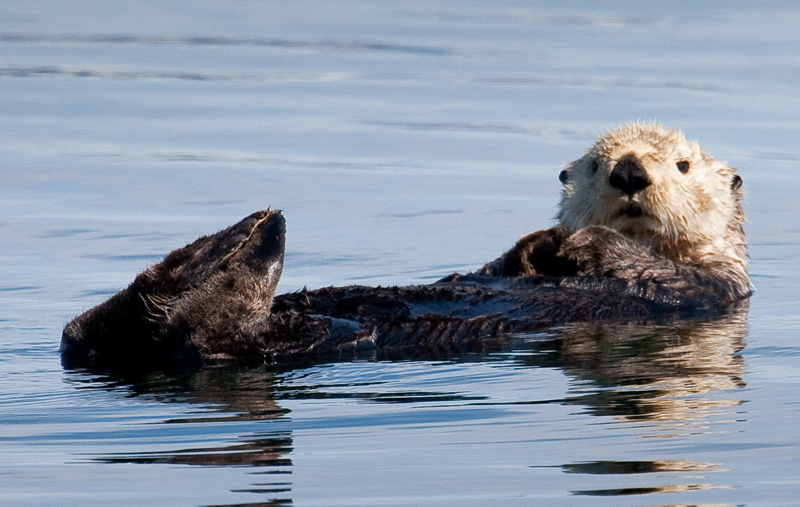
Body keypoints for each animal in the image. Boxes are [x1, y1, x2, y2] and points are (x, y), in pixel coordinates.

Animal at [61, 123, 752, 370]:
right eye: (595, 163)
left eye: (683, 165)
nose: (630, 172)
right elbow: (506, 261)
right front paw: (543, 244)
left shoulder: (714, 285)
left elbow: (653, 269)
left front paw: (580, 241)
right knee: (88, 330)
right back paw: (229, 241)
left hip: (288, 337)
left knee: (193, 338)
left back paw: (248, 244)